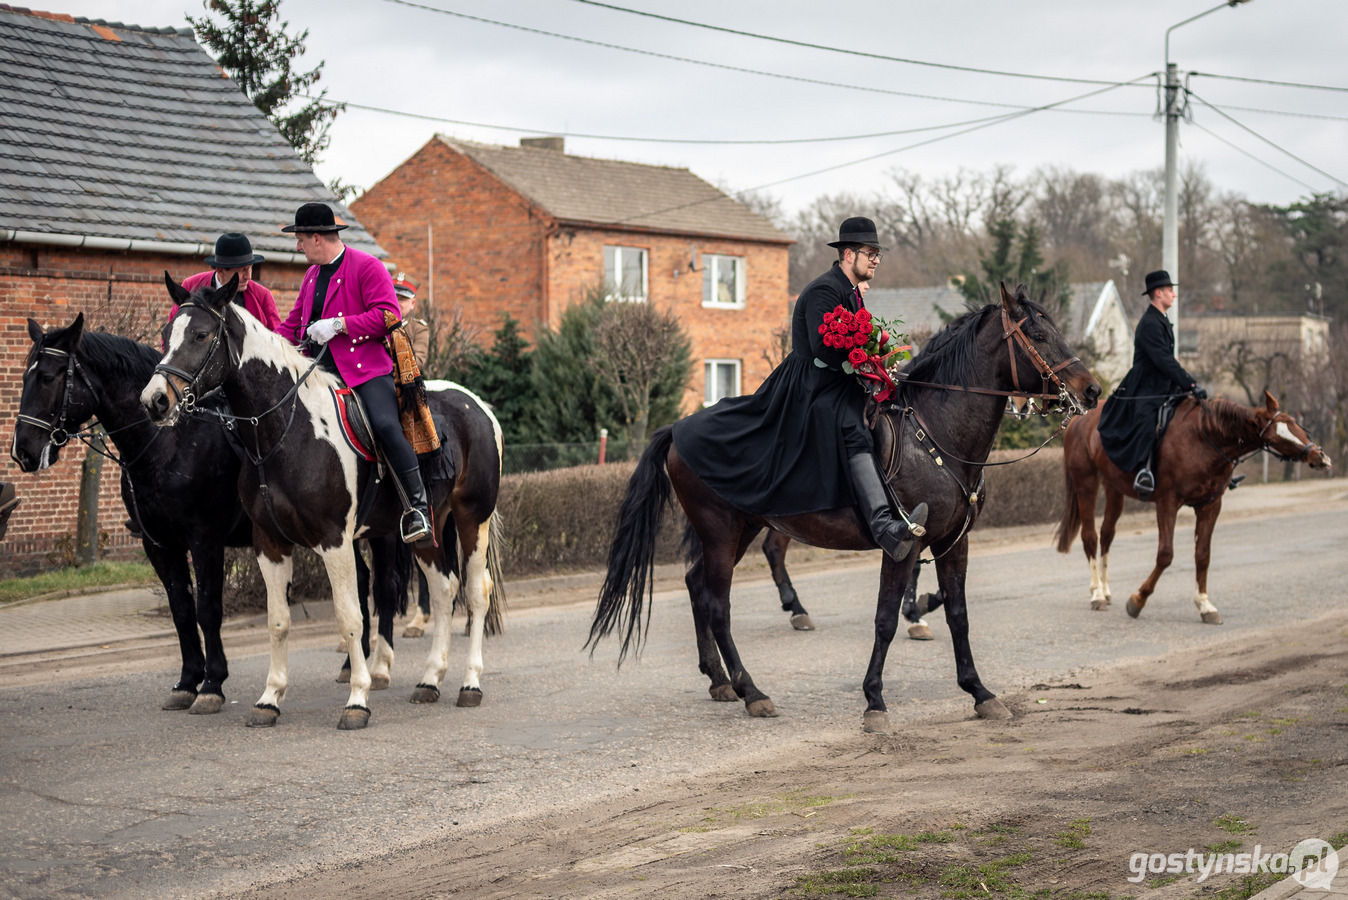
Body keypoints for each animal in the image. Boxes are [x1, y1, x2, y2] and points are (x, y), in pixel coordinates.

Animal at [140, 276, 506, 732]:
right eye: (164, 334)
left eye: (201, 335)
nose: (154, 401)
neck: (287, 429)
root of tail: (477, 405)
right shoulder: (268, 543)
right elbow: (278, 621)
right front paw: (269, 698)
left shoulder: (334, 542)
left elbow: (350, 618)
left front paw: (357, 699)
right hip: (427, 529)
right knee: (442, 590)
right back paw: (430, 679)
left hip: (473, 518)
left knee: (474, 593)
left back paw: (470, 683)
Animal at [587, 284, 1094, 732]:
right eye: (1040, 335)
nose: (1090, 390)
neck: (936, 434)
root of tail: (678, 428)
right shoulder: (904, 546)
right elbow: (886, 620)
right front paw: (874, 700)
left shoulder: (954, 543)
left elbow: (958, 614)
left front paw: (979, 691)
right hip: (720, 530)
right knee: (717, 605)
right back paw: (752, 690)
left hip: (740, 529)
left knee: (697, 586)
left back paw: (719, 679)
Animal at [1056, 390, 1331, 622]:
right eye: (1277, 436)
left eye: (1295, 423)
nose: (1321, 457)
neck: (1204, 439)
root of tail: (1078, 419)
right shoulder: (1168, 503)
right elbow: (1165, 554)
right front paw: (1138, 600)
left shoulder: (1210, 505)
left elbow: (1203, 555)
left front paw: (1205, 605)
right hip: (1086, 482)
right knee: (1090, 536)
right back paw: (1096, 594)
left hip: (1114, 488)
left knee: (1107, 534)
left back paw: (1105, 589)